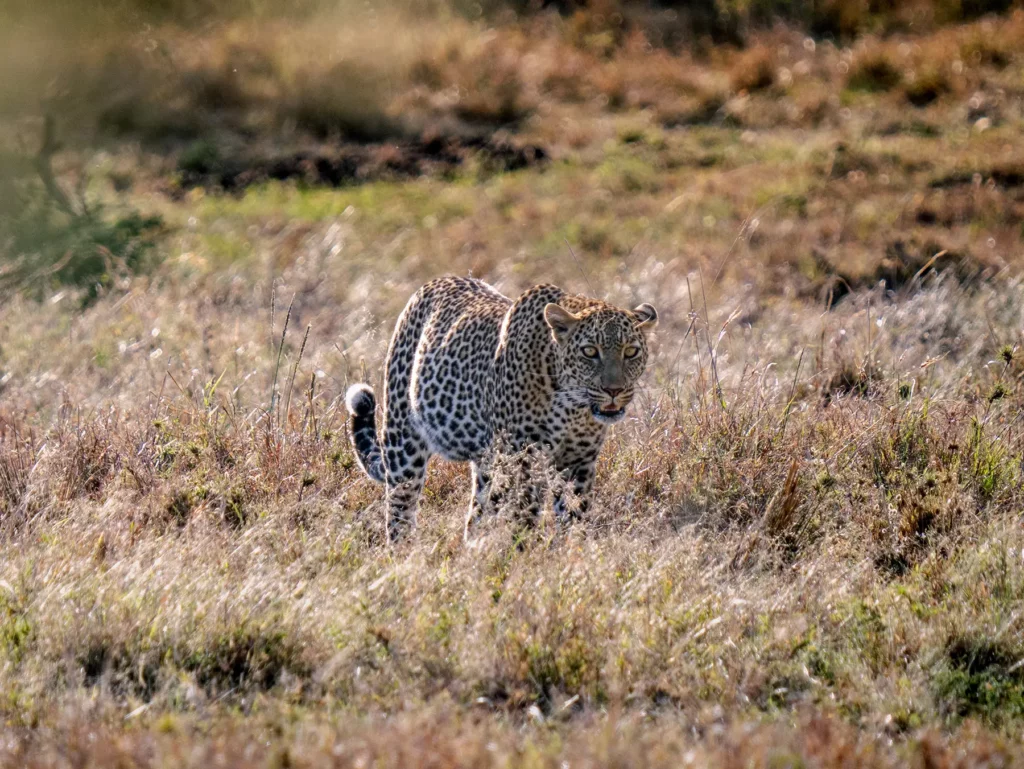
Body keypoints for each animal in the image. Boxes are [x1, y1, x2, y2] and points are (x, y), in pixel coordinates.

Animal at [345, 276, 658, 542]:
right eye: (590, 352)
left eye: (631, 351)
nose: (613, 390)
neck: (573, 407)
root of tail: (432, 283)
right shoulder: (522, 459)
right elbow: (524, 516)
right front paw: (525, 558)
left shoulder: (578, 461)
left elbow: (574, 515)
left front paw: (572, 555)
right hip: (403, 442)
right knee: (400, 511)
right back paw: (404, 556)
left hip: (487, 463)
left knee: (478, 514)